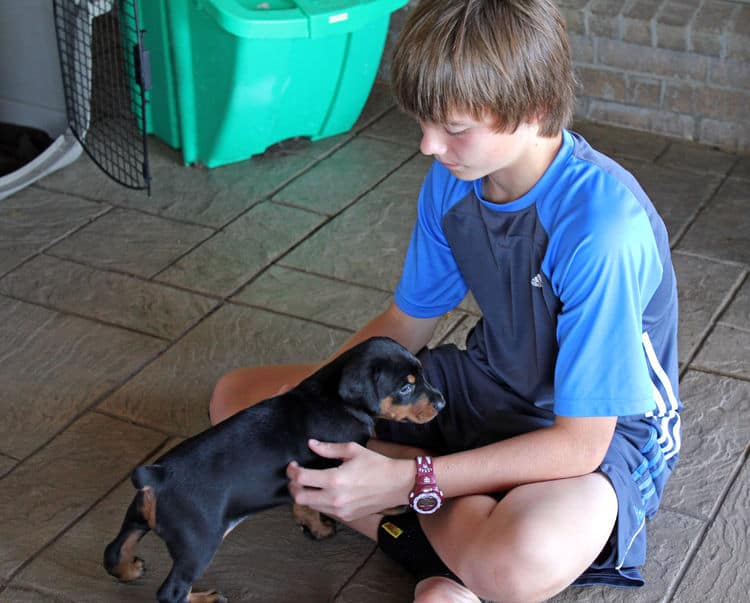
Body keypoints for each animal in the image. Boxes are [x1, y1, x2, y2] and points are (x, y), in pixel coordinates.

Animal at [106, 338, 446, 600]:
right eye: (405, 388)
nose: (442, 403)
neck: (334, 397)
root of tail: (159, 477)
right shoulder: (340, 467)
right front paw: (390, 504)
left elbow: (304, 503)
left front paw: (314, 528)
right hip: (198, 542)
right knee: (171, 592)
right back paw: (205, 599)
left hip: (139, 514)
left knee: (115, 548)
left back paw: (128, 569)